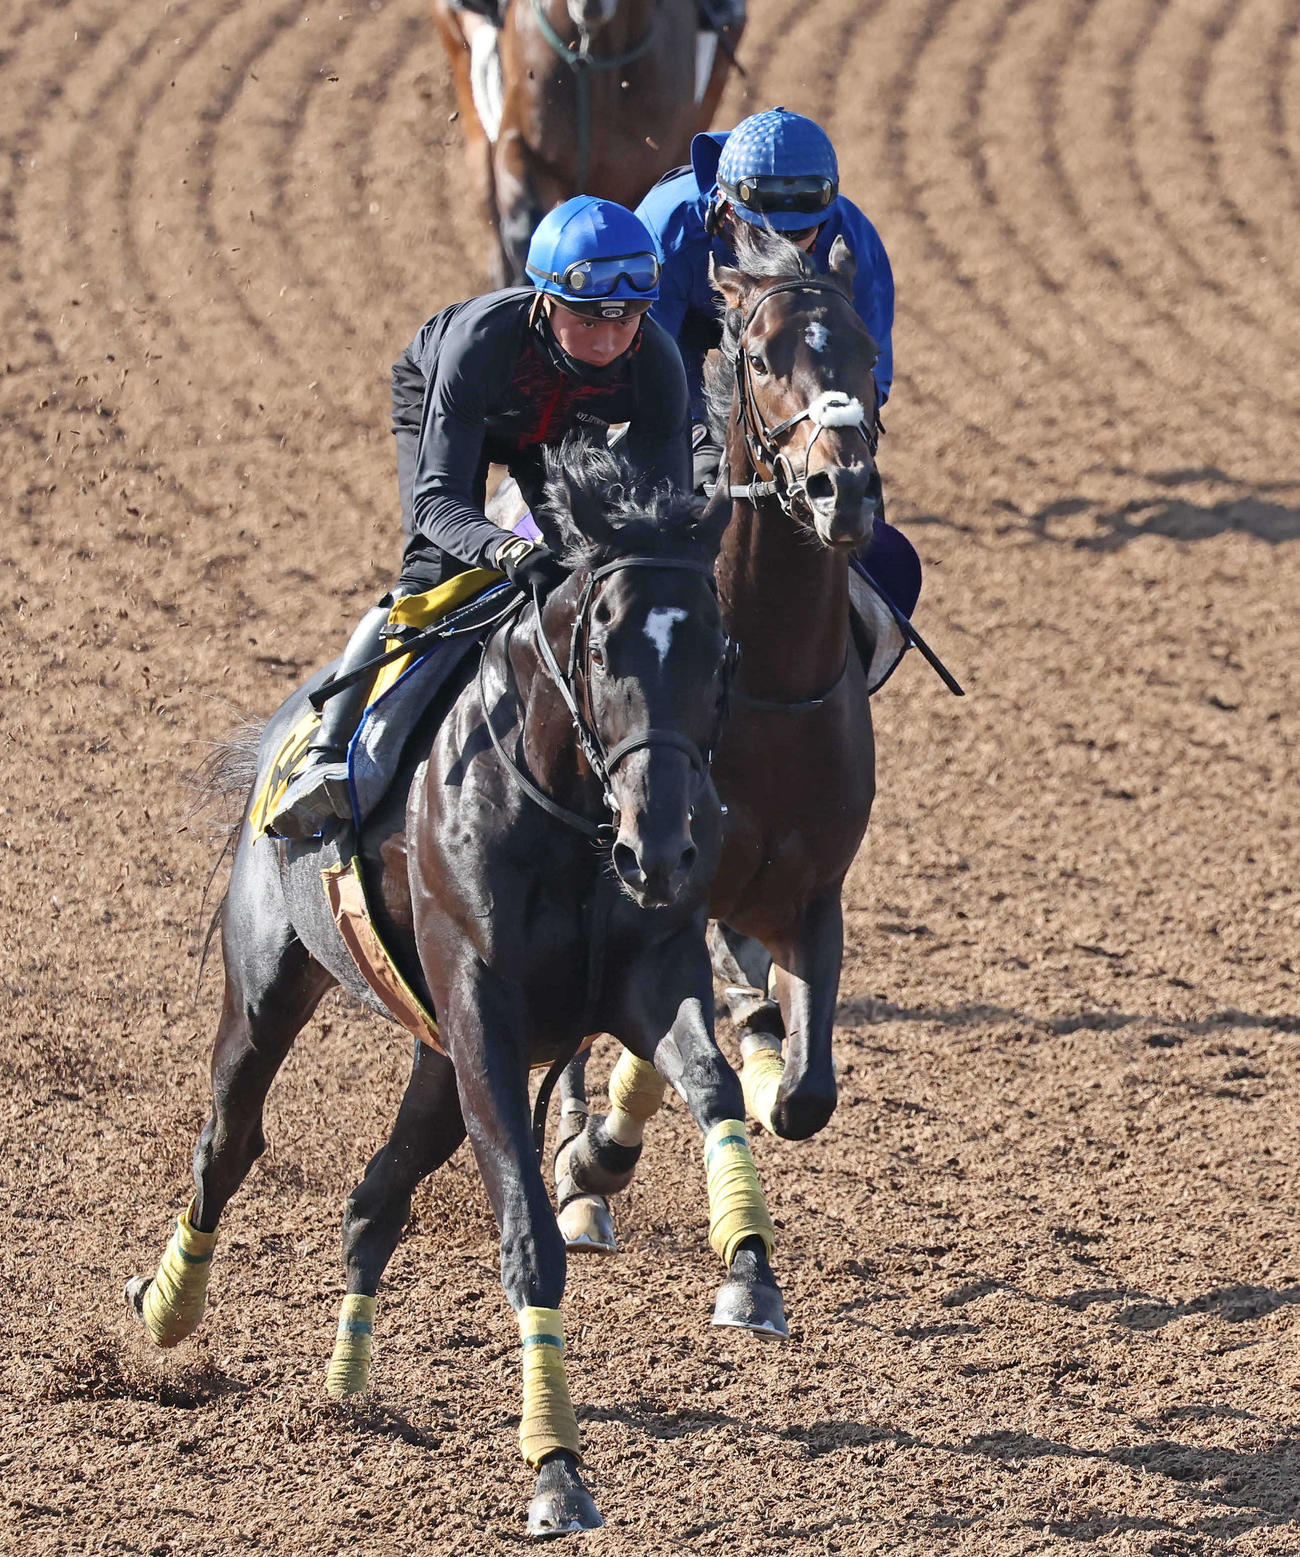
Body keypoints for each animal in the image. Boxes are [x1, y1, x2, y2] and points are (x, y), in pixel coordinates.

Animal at [127, 440, 787, 1538]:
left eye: (719, 650)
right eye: (600, 648)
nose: (662, 843)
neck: (567, 815)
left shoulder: (646, 976)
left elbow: (716, 1086)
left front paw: (747, 1270)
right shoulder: (483, 1015)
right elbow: (526, 1232)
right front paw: (555, 1470)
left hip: (436, 1066)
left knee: (372, 1196)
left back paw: (346, 1387)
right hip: (271, 988)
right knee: (229, 1141)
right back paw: (171, 1303)